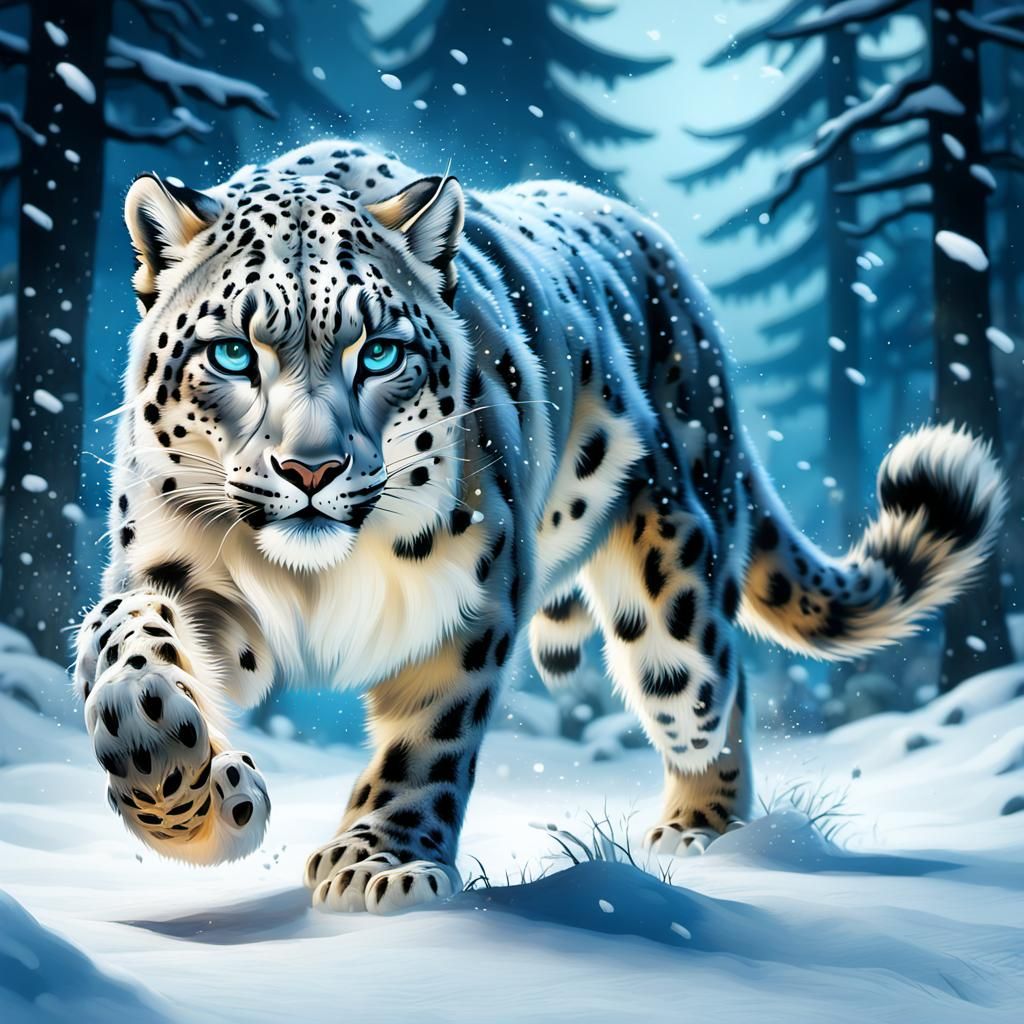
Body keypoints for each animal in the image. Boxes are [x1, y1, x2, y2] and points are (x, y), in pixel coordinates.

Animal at [74, 139, 1006, 914]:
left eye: (379, 352)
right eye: (233, 353)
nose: (312, 470)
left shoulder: (471, 598)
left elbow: (427, 741)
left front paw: (378, 863)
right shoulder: (178, 571)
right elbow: (128, 639)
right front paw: (180, 780)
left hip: (673, 588)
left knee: (711, 685)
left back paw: (703, 829)